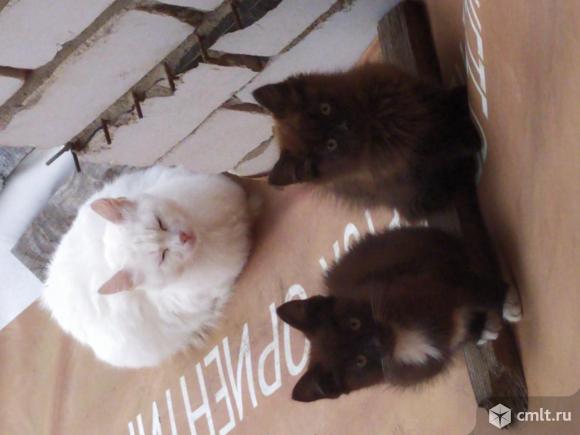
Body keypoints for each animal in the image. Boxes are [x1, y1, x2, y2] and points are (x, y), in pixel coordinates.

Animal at [253, 63, 481, 220]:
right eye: (331, 145)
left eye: (325, 108)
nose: (344, 125)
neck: (377, 118)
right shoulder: (416, 154)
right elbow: (447, 143)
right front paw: (472, 134)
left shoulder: (421, 97)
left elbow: (445, 102)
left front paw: (463, 96)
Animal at [277, 227, 519, 402]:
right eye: (360, 361)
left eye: (354, 323)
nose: (376, 340)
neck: (402, 335)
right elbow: (463, 329)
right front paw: (483, 325)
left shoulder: (434, 280)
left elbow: (479, 291)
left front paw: (507, 302)